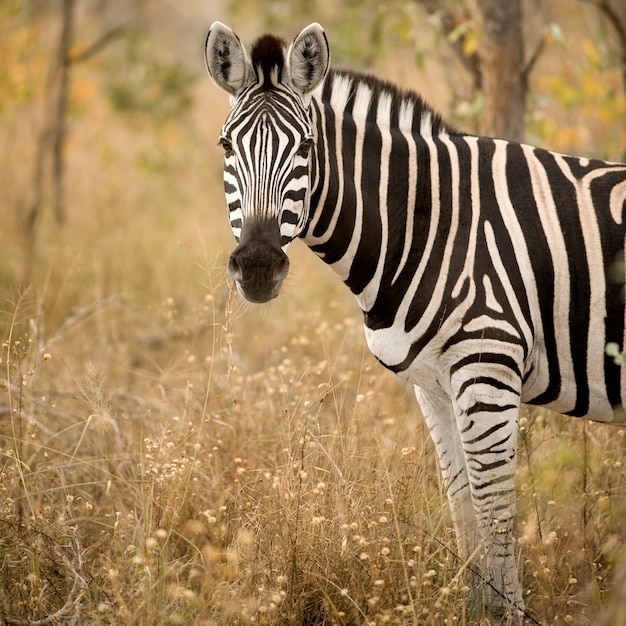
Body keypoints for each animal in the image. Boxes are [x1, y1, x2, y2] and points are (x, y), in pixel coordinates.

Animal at [204, 20, 624, 620]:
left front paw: (509, 616)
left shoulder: (487, 370)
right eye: (225, 146)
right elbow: (461, 504)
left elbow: (494, 512)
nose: (259, 265)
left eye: (306, 147)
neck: (431, 225)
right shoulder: (435, 384)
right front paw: (476, 612)